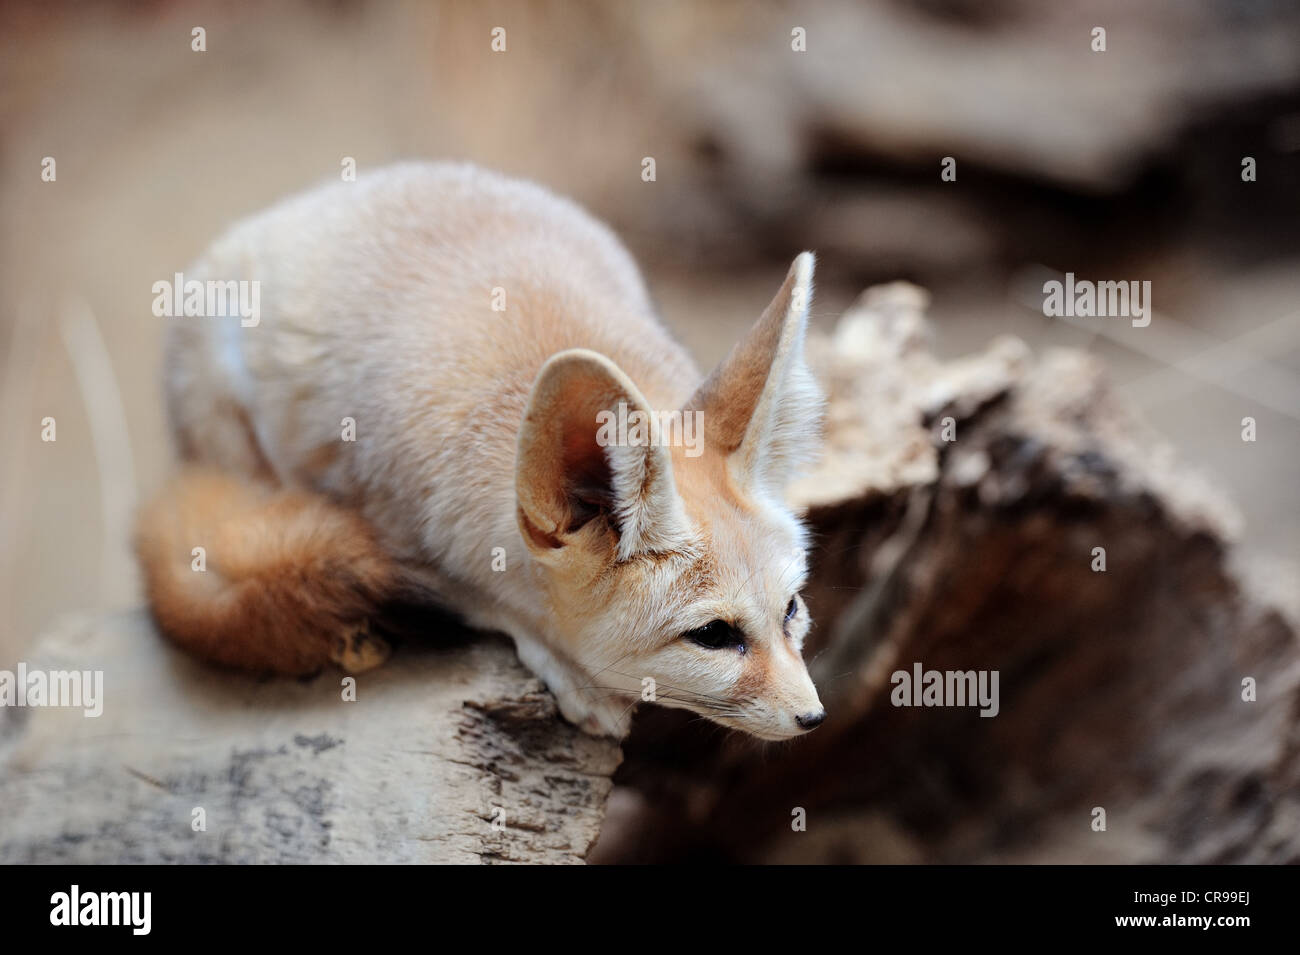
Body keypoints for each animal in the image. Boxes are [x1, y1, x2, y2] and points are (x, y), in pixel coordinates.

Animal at [137, 162, 826, 738]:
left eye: (791, 609)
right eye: (713, 635)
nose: (814, 717)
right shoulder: (395, 532)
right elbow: (483, 601)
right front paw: (572, 672)